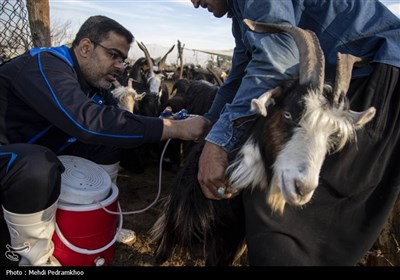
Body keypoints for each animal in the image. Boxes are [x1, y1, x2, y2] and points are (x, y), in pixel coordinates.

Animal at [152, 19, 376, 264]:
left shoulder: (229, 240)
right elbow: (162, 253)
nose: (302, 188)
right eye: (287, 114)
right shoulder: (175, 221)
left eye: (331, 136)